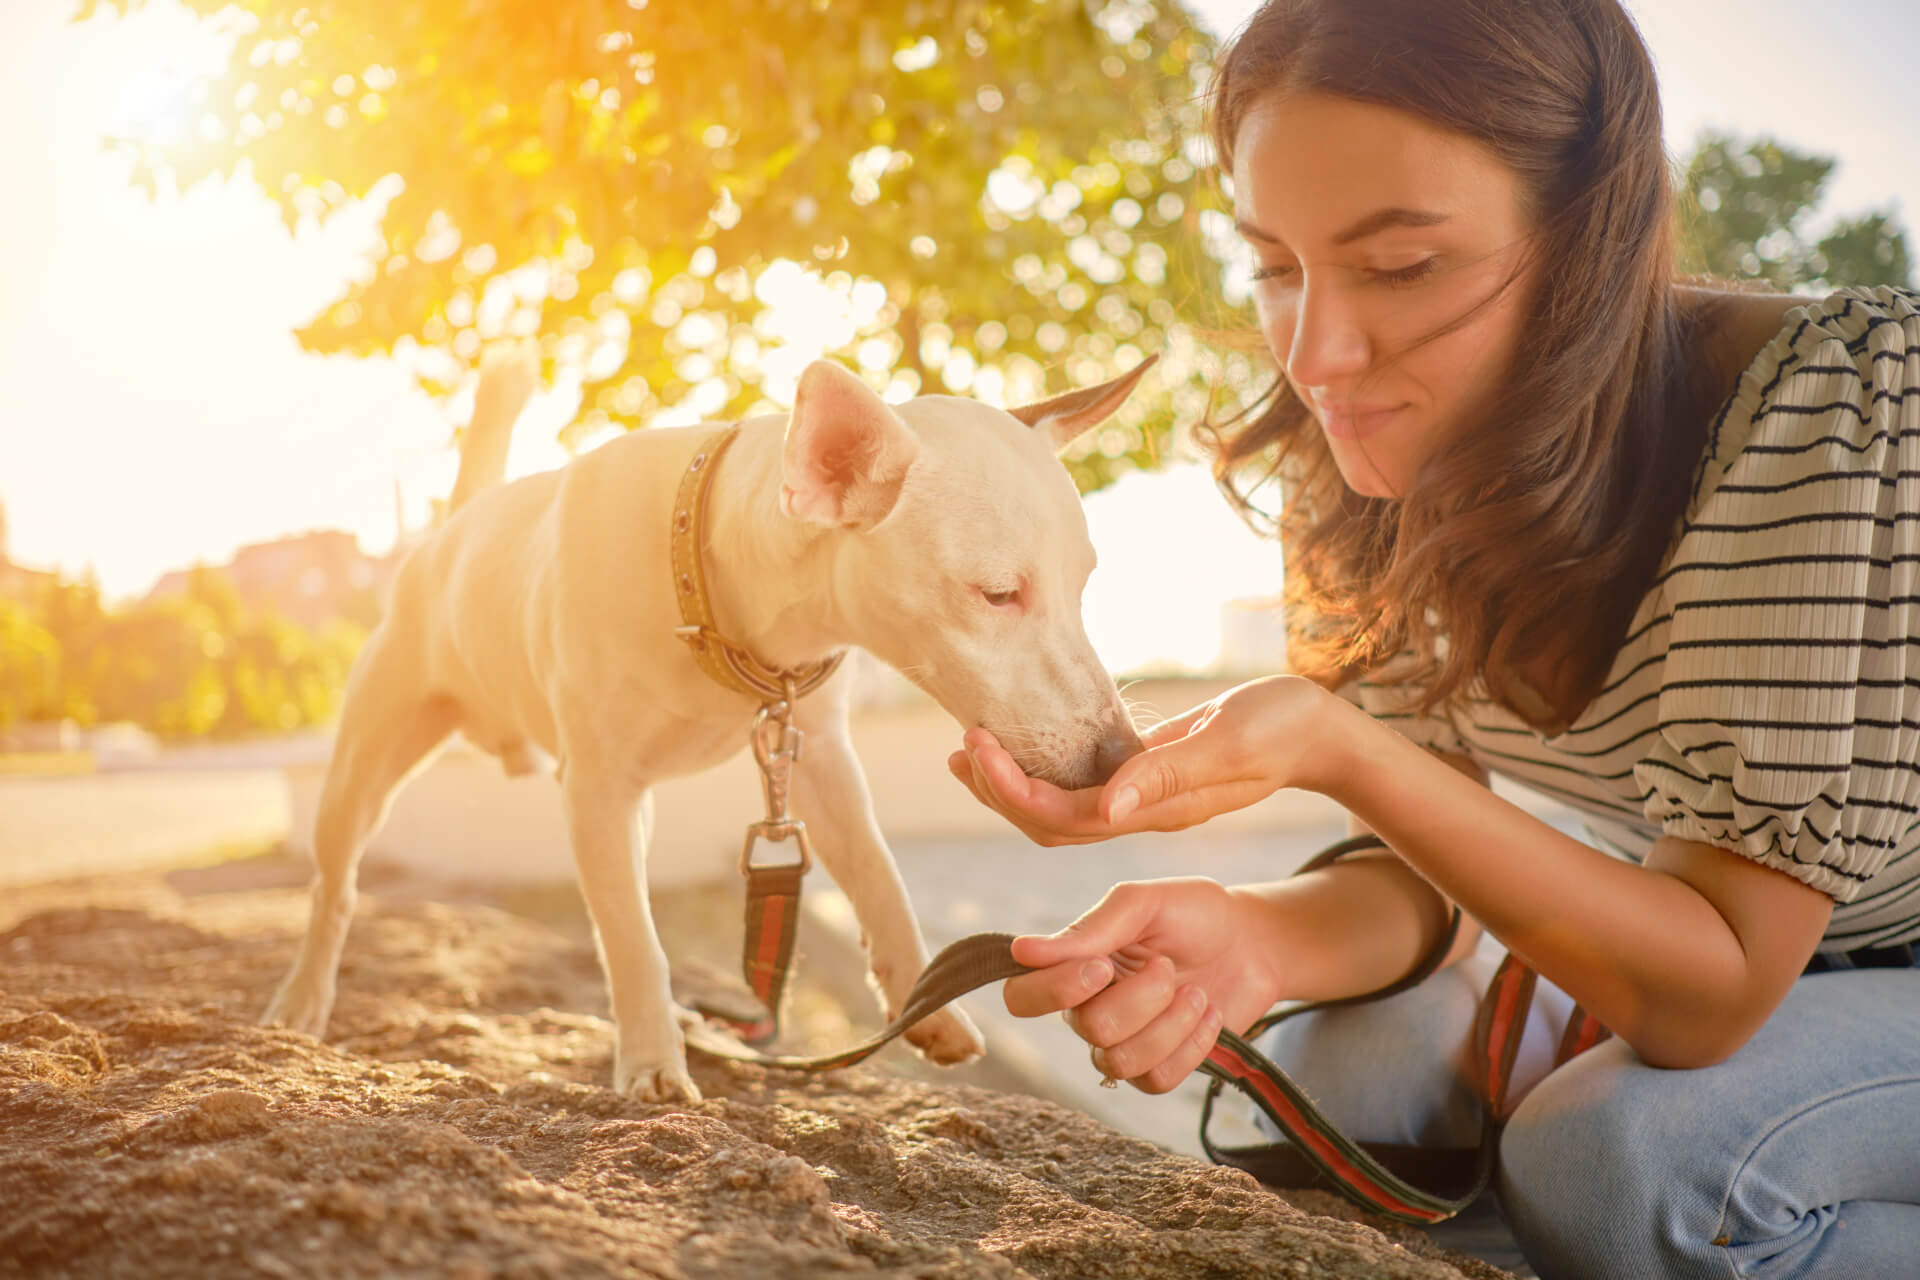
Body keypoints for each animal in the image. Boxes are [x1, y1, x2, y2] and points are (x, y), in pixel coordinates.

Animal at [263, 351, 1144, 1105]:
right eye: (996, 594)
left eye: (1084, 583)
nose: (1121, 755)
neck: (712, 586)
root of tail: (450, 532)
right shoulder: (597, 789)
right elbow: (631, 938)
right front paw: (654, 1061)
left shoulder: (816, 755)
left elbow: (879, 879)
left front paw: (928, 1007)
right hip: (366, 762)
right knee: (335, 887)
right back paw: (302, 997)